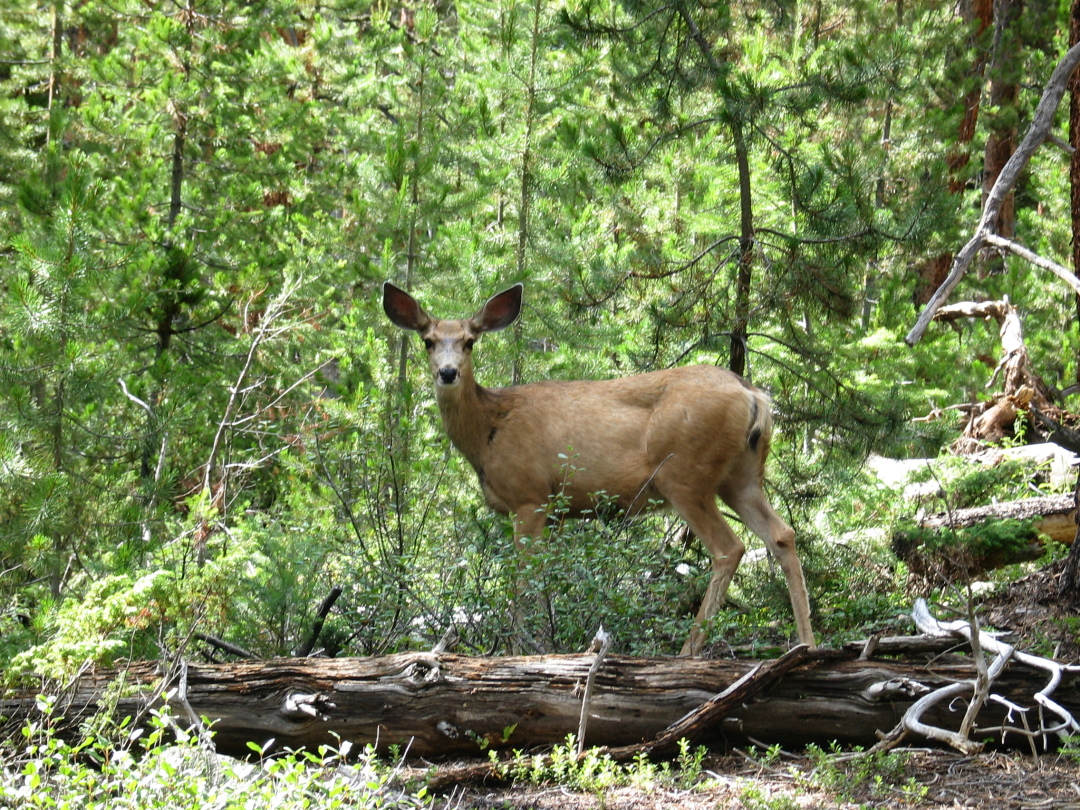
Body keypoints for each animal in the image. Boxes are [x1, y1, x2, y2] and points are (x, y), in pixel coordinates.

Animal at [382, 281, 815, 655]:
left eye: (469, 342)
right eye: (428, 341)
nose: (448, 372)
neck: (489, 427)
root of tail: (754, 395)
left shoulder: (530, 496)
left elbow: (524, 580)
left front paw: (517, 650)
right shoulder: (557, 511)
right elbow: (549, 580)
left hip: (684, 474)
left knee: (729, 548)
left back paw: (688, 652)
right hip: (740, 477)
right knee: (782, 535)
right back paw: (807, 644)